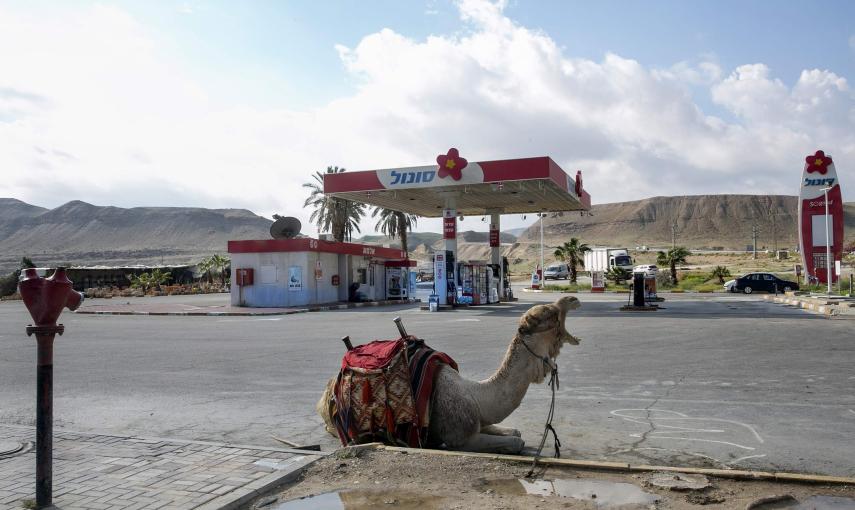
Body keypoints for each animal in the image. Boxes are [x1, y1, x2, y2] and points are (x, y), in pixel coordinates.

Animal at [318, 294, 584, 454]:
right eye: (548, 314)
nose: (573, 299)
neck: (475, 394)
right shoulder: (462, 438)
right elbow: (516, 442)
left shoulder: (479, 419)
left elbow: (513, 431)